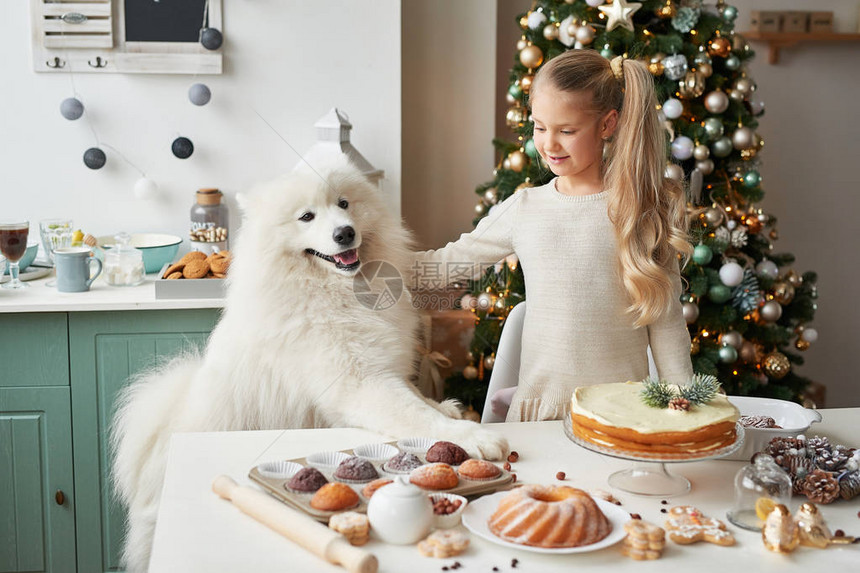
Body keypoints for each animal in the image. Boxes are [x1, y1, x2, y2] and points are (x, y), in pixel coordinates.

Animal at [111, 159, 508, 568]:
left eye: (344, 204)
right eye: (306, 216)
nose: (345, 233)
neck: (335, 290)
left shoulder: (383, 368)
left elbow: (417, 398)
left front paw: (448, 408)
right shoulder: (359, 384)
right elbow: (415, 413)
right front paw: (472, 436)